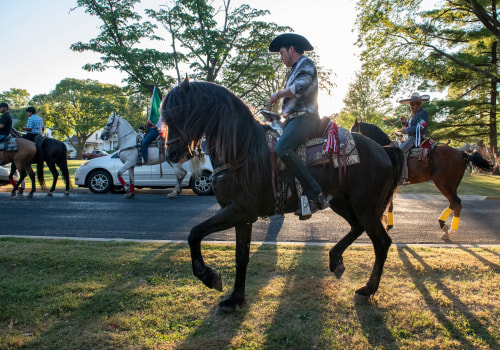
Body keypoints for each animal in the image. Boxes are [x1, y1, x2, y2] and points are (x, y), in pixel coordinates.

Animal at [162, 78, 404, 312]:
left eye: (180, 111)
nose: (170, 153)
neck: (243, 152)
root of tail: (384, 150)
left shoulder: (239, 211)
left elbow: (194, 233)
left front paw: (209, 277)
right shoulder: (242, 217)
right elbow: (241, 257)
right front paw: (235, 299)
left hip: (366, 207)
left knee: (381, 242)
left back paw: (367, 289)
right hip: (342, 202)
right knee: (356, 227)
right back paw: (336, 261)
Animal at [352, 119, 496, 239]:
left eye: (353, 129)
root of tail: (461, 153)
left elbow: (389, 205)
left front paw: (387, 225)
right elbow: (389, 205)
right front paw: (387, 223)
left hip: (443, 183)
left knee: (456, 202)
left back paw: (446, 227)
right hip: (451, 184)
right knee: (455, 203)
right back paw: (448, 229)